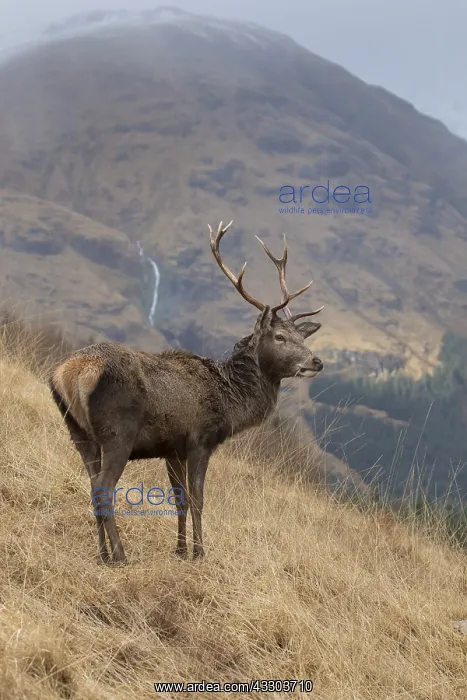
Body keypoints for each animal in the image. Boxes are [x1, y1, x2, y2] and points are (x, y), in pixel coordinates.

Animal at [49, 221, 324, 564]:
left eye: (301, 337)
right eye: (280, 337)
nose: (317, 361)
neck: (230, 401)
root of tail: (71, 372)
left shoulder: (172, 448)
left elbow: (179, 498)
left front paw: (180, 550)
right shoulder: (199, 441)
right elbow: (198, 499)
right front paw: (199, 552)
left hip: (78, 432)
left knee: (91, 483)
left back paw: (102, 554)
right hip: (118, 431)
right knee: (103, 486)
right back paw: (120, 555)